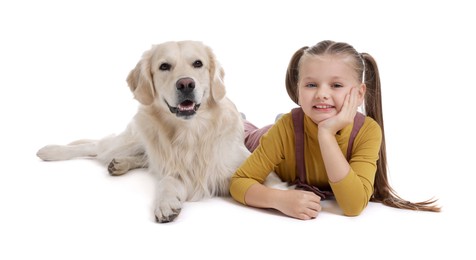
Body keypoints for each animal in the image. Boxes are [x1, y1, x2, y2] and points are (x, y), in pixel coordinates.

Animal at [36, 40, 251, 223]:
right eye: (164, 66)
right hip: (134, 138)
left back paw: (119, 164)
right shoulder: (175, 170)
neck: (191, 133)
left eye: (198, 63)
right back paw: (50, 151)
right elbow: (166, 182)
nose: (186, 84)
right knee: (96, 146)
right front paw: (165, 203)